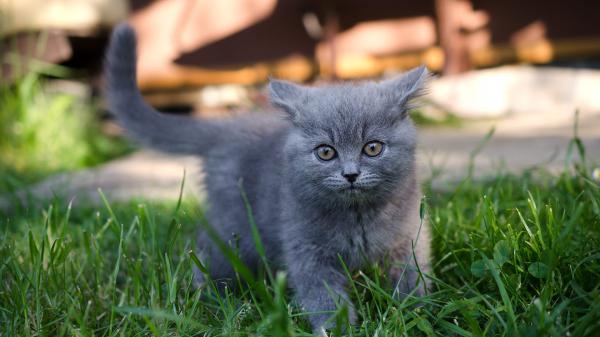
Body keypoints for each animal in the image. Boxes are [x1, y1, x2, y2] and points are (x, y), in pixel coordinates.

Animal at [104, 24, 432, 334]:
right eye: (326, 152)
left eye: (372, 148)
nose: (350, 174)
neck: (357, 215)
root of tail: (225, 128)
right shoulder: (305, 247)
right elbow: (321, 292)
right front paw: (335, 327)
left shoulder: (408, 236)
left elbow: (412, 274)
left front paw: (415, 312)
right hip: (235, 225)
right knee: (211, 252)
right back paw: (211, 300)